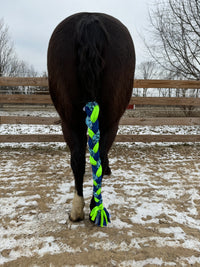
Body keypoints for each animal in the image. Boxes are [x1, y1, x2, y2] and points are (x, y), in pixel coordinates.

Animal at [47, 12, 136, 228]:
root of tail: (89, 19)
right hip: (106, 123)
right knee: (92, 156)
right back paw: (90, 206)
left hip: (70, 122)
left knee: (78, 158)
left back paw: (80, 209)